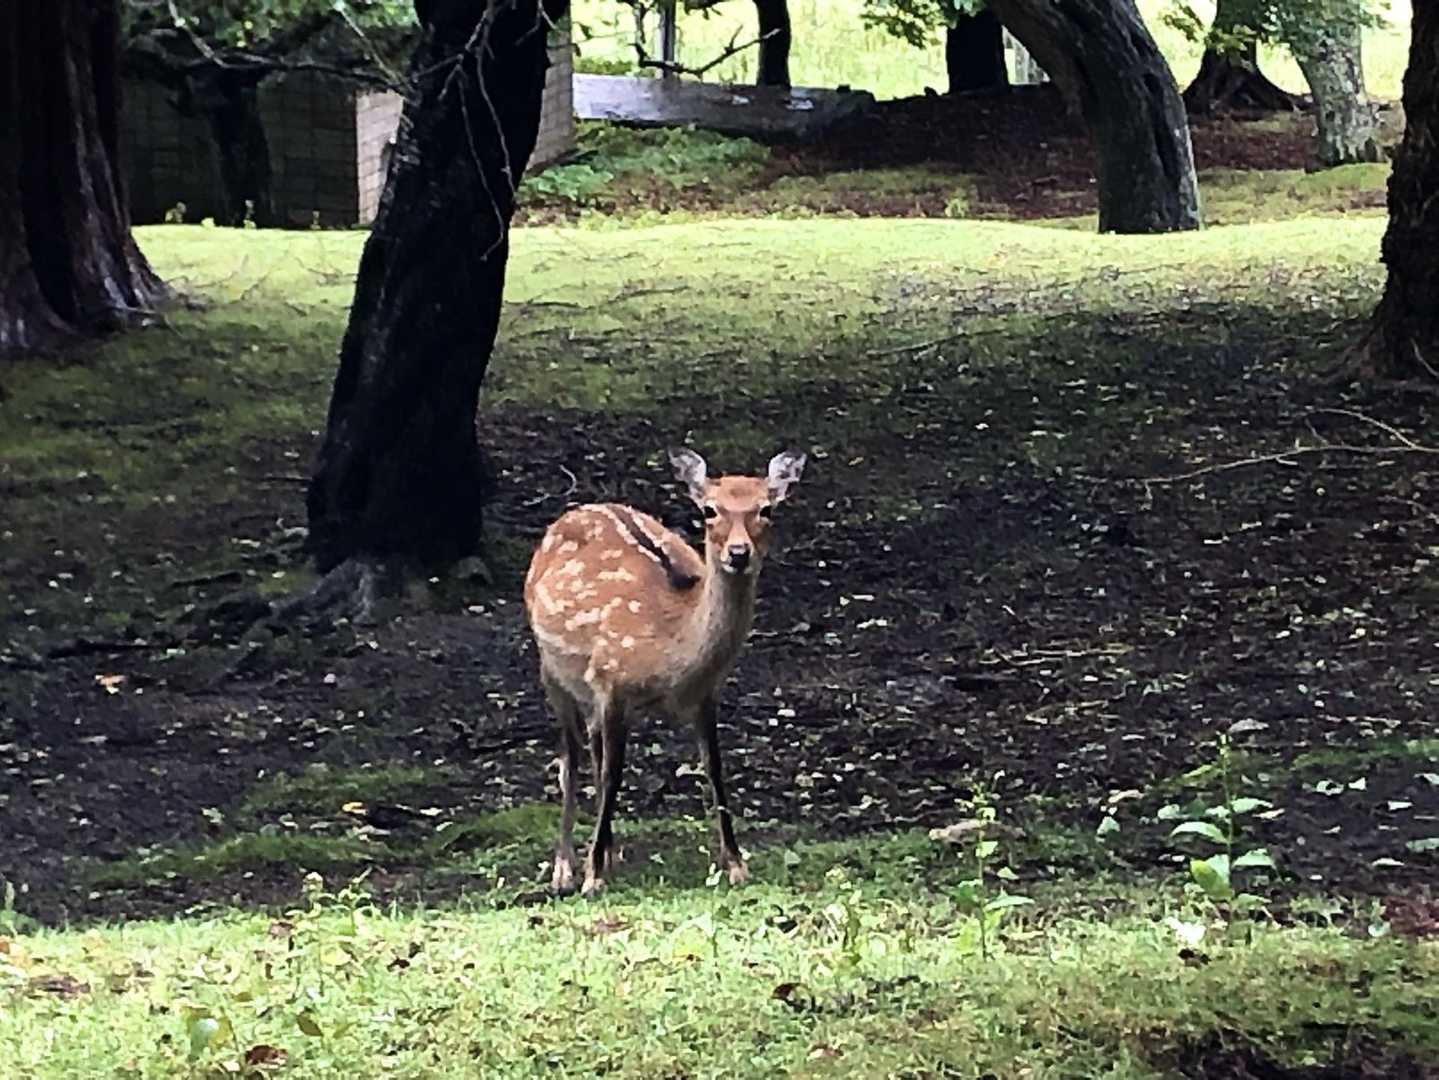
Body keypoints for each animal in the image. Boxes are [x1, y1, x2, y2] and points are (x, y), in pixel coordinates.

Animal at [523, 447, 807, 896]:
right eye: (709, 509)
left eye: (767, 508)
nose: (739, 553)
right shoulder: (612, 682)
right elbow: (612, 774)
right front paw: (591, 877)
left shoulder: (706, 693)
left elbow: (715, 768)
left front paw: (736, 865)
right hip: (551, 669)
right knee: (571, 759)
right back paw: (565, 868)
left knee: (592, 749)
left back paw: (608, 853)